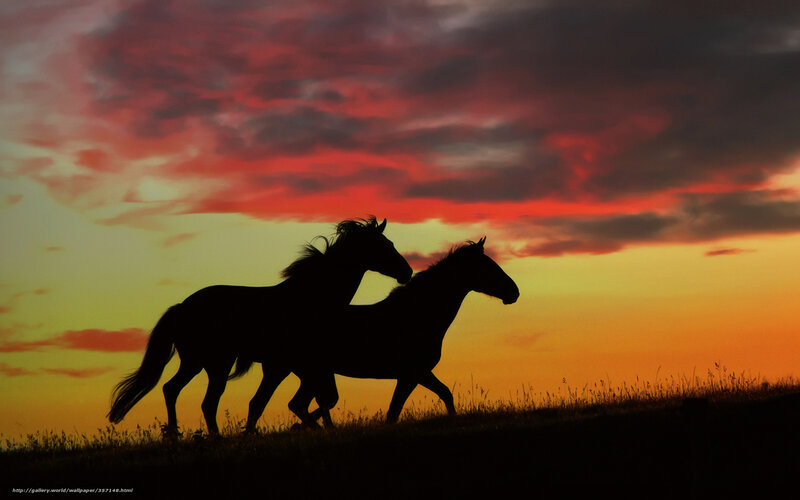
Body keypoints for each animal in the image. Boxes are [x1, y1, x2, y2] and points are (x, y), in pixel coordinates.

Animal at [107, 217, 412, 436]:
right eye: (385, 245)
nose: (407, 272)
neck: (310, 298)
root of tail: (183, 307)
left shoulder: (295, 366)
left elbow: (287, 402)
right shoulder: (286, 365)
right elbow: (275, 402)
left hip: (196, 362)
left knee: (172, 390)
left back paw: (175, 435)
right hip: (215, 363)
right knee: (205, 400)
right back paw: (208, 437)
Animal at [244, 237, 519, 430]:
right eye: (488, 267)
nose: (514, 292)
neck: (417, 315)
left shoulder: (418, 374)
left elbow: (444, 395)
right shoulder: (411, 374)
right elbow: (394, 412)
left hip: (308, 374)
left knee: (300, 404)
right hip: (296, 371)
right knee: (291, 404)